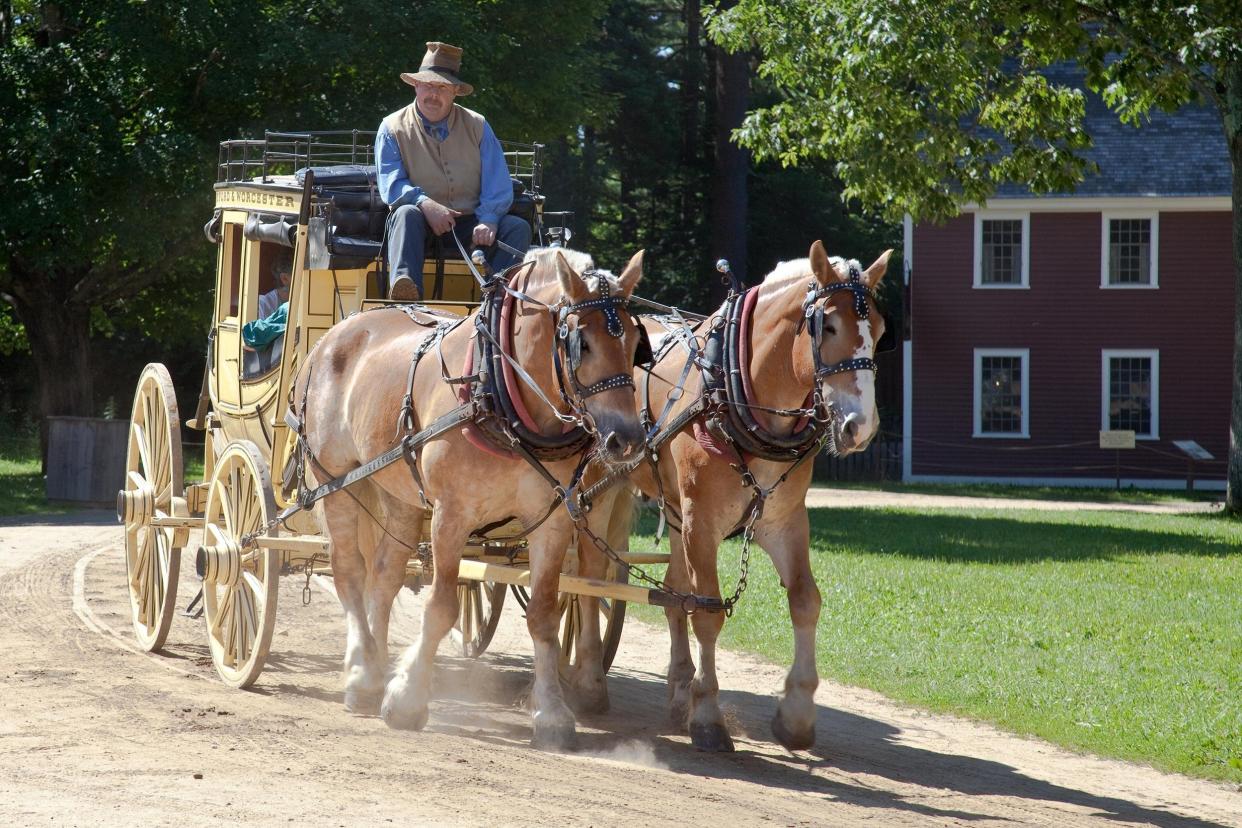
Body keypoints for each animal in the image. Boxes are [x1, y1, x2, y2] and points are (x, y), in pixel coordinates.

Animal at [296, 248, 650, 749]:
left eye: (636, 343)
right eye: (582, 343)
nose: (627, 439)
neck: (500, 394)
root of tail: (336, 335)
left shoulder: (553, 519)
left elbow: (543, 614)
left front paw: (552, 713)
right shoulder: (451, 516)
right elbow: (442, 605)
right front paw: (407, 700)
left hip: (400, 493)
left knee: (383, 577)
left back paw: (377, 664)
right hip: (337, 482)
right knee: (349, 571)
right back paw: (364, 675)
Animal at [576, 239, 889, 749]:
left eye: (879, 330)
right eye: (828, 325)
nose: (860, 427)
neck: (735, 390)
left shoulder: (781, 520)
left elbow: (805, 599)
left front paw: (796, 713)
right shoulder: (703, 522)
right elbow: (707, 613)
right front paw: (707, 716)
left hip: (675, 511)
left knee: (672, 592)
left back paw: (678, 690)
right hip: (597, 490)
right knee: (587, 581)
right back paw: (588, 681)